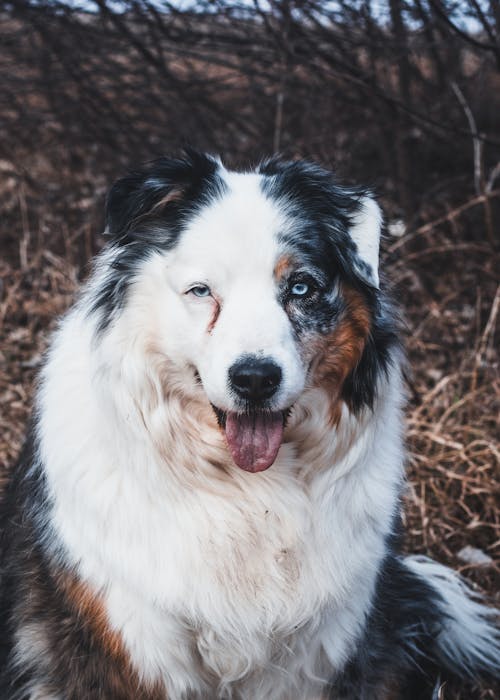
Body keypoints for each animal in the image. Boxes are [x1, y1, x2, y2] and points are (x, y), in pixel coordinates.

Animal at [0, 153, 500, 700]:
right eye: (201, 291)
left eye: (301, 288)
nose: (256, 379)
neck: (246, 490)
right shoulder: (131, 638)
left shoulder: (316, 651)